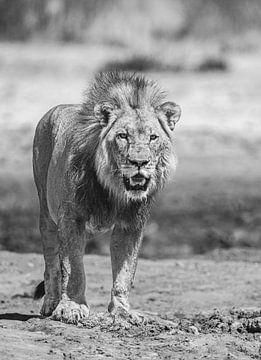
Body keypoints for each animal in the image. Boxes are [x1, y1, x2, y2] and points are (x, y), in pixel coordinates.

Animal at [32, 71, 180, 324]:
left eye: (153, 137)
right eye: (122, 136)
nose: (139, 162)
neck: (114, 190)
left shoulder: (131, 225)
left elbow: (125, 273)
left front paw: (123, 311)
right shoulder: (71, 219)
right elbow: (73, 268)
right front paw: (71, 307)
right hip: (46, 213)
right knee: (51, 263)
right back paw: (51, 302)